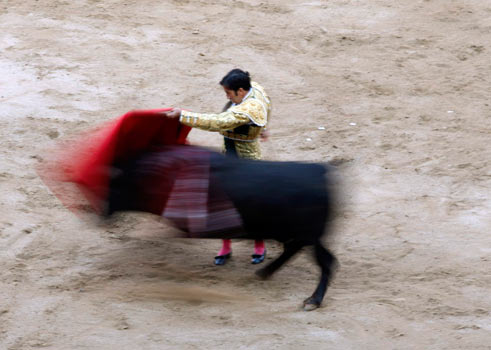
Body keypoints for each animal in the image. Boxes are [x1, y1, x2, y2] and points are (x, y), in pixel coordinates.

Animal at [106, 146, 340, 310]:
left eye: (115, 186)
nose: (101, 212)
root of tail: (320, 171)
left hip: (308, 234)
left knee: (323, 260)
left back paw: (313, 300)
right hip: (302, 234)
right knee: (306, 253)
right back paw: (265, 272)